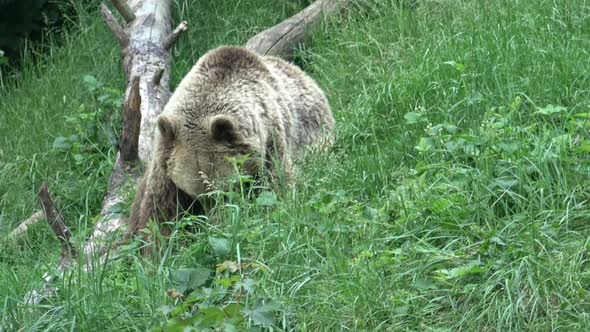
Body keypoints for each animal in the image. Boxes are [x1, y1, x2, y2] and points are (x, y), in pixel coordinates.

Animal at [127, 45, 336, 240]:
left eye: (226, 190)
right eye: (196, 196)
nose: (216, 223)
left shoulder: (271, 142)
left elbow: (277, 188)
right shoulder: (166, 164)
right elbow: (158, 215)